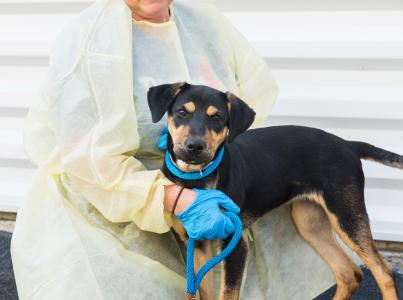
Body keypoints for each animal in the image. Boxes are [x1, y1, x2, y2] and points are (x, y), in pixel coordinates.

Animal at [148, 82, 403, 300]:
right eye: (182, 112)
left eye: (218, 117)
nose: (194, 147)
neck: (196, 178)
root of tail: (347, 144)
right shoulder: (198, 245)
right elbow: (204, 293)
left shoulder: (235, 245)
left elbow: (227, 294)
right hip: (309, 222)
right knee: (349, 273)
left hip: (346, 216)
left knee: (384, 273)